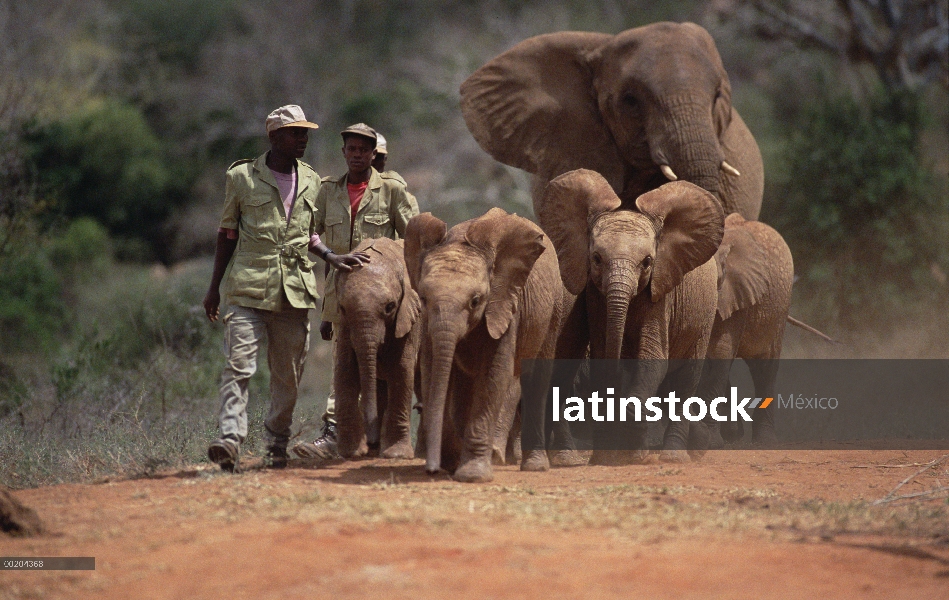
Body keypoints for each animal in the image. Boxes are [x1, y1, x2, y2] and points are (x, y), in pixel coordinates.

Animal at [336, 237, 420, 458]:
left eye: (390, 307)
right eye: (342, 308)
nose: (371, 442)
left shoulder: (411, 317)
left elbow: (401, 370)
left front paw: (397, 455)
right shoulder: (345, 325)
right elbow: (346, 369)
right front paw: (351, 452)